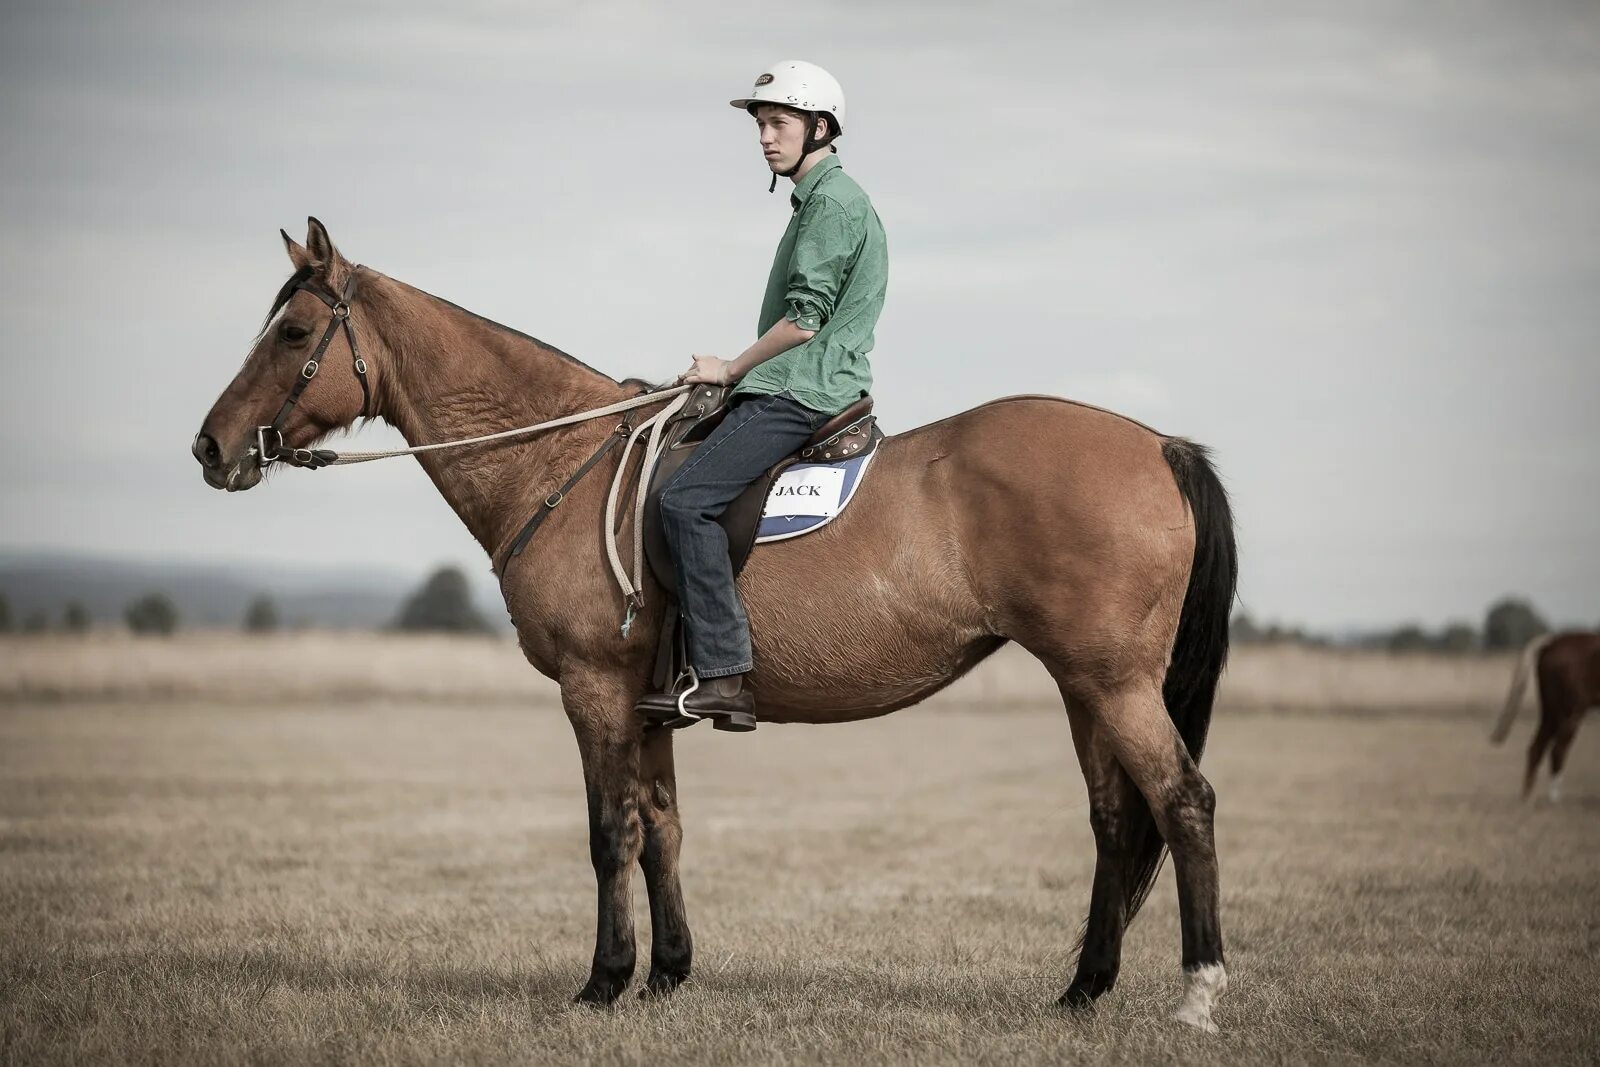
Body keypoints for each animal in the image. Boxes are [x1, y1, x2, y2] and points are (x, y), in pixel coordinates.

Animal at [187, 219, 1235, 1036]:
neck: (561, 460)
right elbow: (664, 827)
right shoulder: (650, 704)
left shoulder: (595, 690)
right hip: (1084, 685)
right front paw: (668, 973)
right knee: (1114, 818)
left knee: (1183, 801)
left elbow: (610, 832)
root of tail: (1159, 445)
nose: (208, 446)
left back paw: (1199, 991)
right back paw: (1082, 991)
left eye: (292, 331)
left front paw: (604, 982)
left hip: (1112, 684)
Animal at [1484, 633, 1600, 799]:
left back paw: (1527, 796)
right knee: (1557, 749)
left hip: (1551, 711)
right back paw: (1554, 798)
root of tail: (1551, 643)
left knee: (1537, 747)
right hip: (1570, 711)